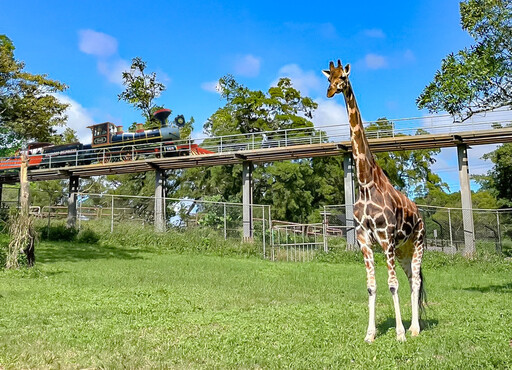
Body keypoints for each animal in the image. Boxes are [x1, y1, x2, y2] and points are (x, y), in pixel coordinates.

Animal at [322, 59, 426, 342]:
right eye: (329, 78)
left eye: (343, 77)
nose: (330, 91)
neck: (366, 184)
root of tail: (420, 213)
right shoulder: (364, 238)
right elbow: (371, 286)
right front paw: (370, 334)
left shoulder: (386, 237)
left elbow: (392, 285)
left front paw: (399, 334)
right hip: (403, 250)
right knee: (412, 279)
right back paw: (413, 326)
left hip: (417, 243)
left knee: (415, 281)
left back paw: (414, 329)